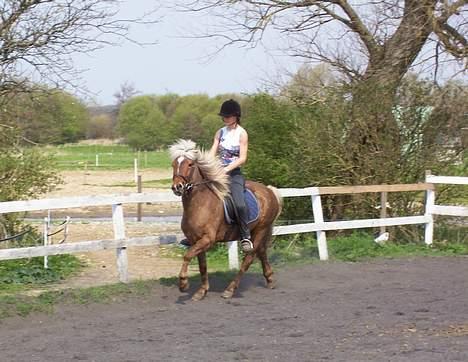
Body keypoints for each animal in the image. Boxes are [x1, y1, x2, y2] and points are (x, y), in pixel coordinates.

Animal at [171, 139, 284, 300]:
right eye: (173, 164)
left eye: (190, 164)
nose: (177, 187)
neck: (200, 204)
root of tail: (270, 191)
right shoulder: (195, 240)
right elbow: (202, 265)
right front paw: (201, 291)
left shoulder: (208, 239)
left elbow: (187, 256)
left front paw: (183, 284)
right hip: (258, 230)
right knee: (261, 251)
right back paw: (269, 279)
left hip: (261, 229)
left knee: (249, 258)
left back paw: (230, 290)